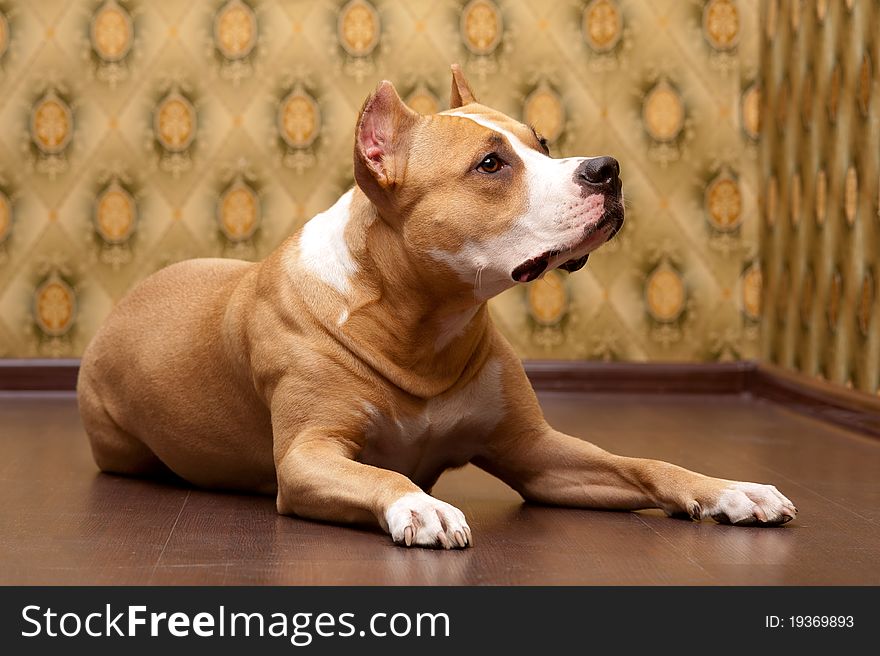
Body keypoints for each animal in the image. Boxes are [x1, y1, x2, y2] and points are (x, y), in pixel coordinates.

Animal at [79, 65, 796, 548]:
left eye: (542, 142)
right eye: (490, 165)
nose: (607, 169)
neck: (420, 322)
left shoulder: (536, 454)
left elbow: (645, 464)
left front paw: (729, 490)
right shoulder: (308, 459)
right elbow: (382, 477)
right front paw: (420, 506)